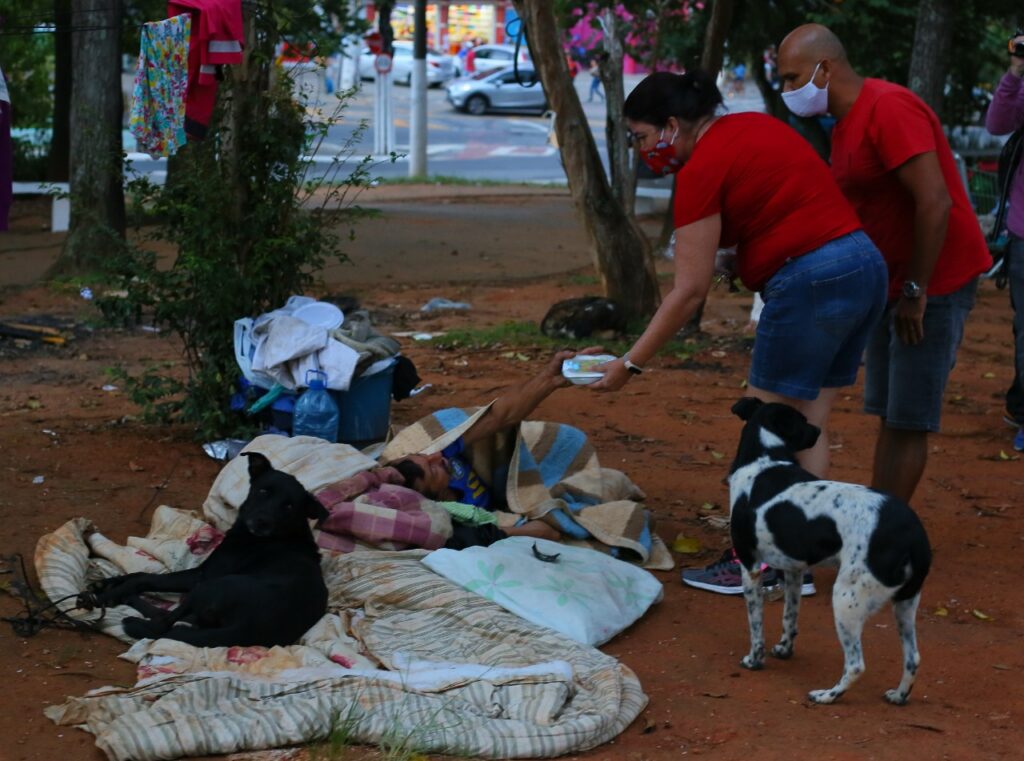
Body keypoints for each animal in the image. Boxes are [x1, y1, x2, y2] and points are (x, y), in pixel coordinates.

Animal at [79, 452, 327, 647]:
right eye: (264, 491)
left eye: (289, 506)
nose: (262, 522)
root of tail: (247, 628)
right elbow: (139, 573)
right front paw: (107, 583)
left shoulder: (202, 575)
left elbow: (146, 578)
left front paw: (109, 593)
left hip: (210, 586)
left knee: (161, 625)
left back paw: (129, 609)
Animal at [724, 401, 933, 704]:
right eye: (803, 421)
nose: (818, 430)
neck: (765, 459)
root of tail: (914, 535)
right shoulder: (794, 570)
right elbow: (790, 616)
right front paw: (784, 650)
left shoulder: (749, 567)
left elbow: (756, 625)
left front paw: (754, 660)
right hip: (904, 605)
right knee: (913, 657)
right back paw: (898, 696)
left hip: (846, 600)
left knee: (856, 665)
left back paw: (827, 695)